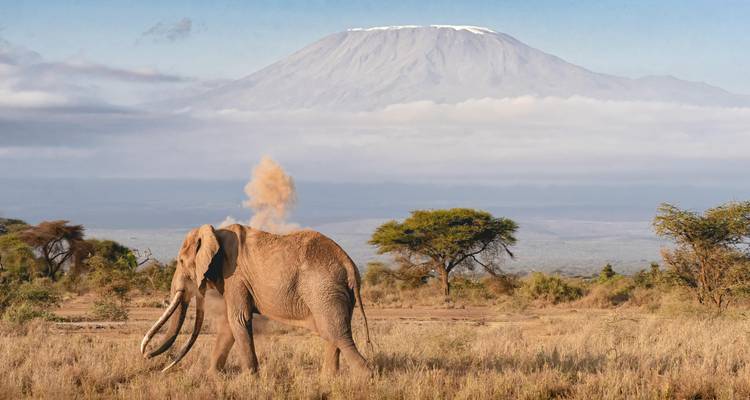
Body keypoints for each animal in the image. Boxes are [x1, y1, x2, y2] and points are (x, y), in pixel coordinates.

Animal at [140, 223, 372, 376]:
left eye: (180, 261)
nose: (148, 357)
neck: (215, 232)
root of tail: (349, 264)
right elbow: (229, 324)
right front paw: (213, 376)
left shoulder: (235, 276)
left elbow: (238, 319)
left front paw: (250, 379)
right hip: (334, 293)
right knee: (332, 333)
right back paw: (328, 379)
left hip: (323, 289)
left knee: (336, 333)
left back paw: (365, 377)